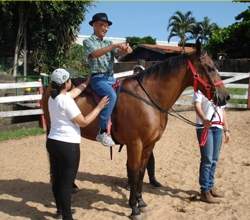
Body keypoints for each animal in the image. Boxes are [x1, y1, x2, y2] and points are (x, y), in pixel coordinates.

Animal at [42, 46, 229, 218]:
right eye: (209, 68)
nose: (225, 97)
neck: (148, 98)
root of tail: (50, 88)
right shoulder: (135, 144)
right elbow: (132, 171)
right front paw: (134, 208)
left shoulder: (148, 144)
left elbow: (141, 171)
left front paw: (141, 201)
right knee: (54, 172)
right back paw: (60, 209)